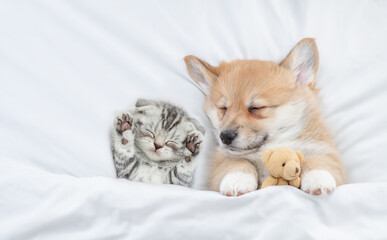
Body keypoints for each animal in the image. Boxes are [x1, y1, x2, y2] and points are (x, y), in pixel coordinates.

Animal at [183, 38, 348, 196]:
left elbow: (317, 161)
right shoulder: (221, 164)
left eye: (256, 108)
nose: (225, 136)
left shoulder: (325, 154)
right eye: (223, 108)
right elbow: (238, 162)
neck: (272, 146)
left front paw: (318, 178)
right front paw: (237, 180)